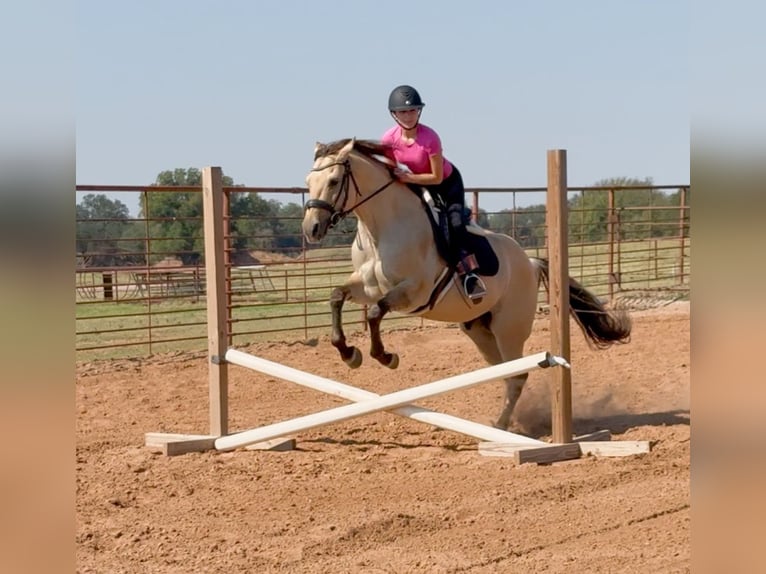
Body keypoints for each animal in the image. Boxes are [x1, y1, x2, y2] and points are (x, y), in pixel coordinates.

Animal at [301, 138, 631, 430]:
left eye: (334, 181)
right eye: (308, 181)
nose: (311, 229)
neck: (381, 230)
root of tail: (531, 263)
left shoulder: (413, 291)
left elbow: (374, 313)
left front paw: (386, 357)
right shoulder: (366, 287)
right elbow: (337, 296)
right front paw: (348, 354)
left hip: (508, 329)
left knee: (518, 375)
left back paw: (502, 425)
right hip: (479, 330)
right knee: (506, 373)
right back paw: (505, 422)